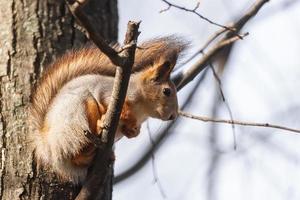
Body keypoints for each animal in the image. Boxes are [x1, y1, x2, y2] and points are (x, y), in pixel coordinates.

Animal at [28, 35, 188, 183]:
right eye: (166, 91)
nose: (173, 115)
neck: (142, 111)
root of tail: (48, 146)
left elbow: (132, 131)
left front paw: (133, 131)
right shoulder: (108, 92)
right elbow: (110, 102)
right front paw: (126, 115)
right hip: (79, 114)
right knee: (77, 150)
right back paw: (99, 129)